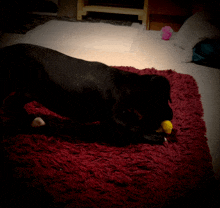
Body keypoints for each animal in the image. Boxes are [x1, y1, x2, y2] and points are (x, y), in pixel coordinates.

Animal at [0, 44, 173, 145]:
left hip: (27, 91)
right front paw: (154, 137)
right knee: (9, 104)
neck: (129, 84)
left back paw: (31, 121)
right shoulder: (114, 116)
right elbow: (133, 127)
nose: (171, 115)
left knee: (11, 105)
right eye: (162, 101)